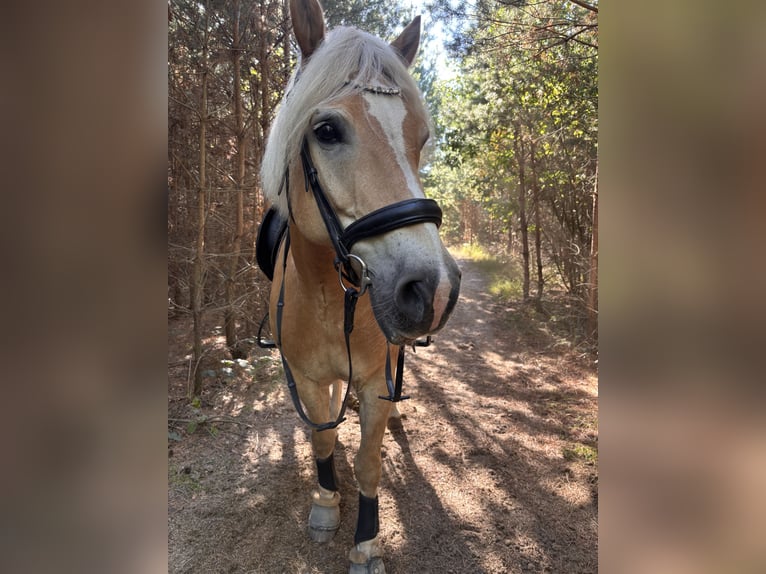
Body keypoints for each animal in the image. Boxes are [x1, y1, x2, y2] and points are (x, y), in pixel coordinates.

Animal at [257, 1, 461, 572]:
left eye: (420, 138)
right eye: (326, 130)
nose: (433, 288)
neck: (329, 298)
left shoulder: (373, 384)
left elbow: (370, 464)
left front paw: (366, 542)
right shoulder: (305, 378)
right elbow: (321, 441)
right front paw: (326, 505)